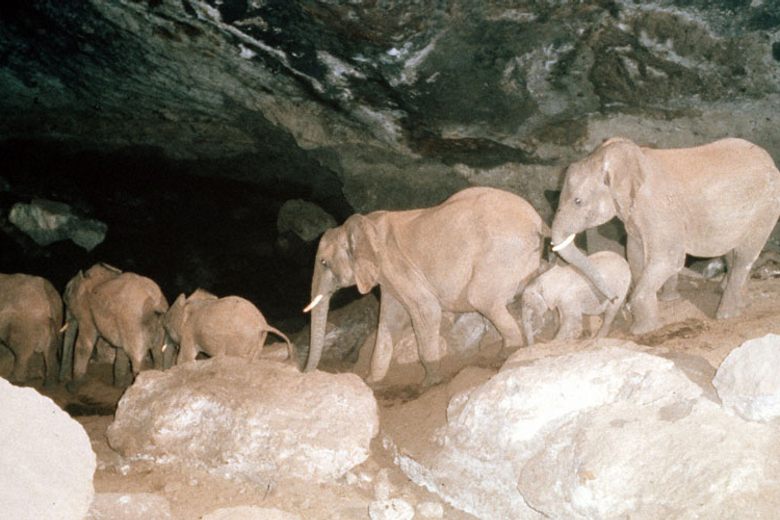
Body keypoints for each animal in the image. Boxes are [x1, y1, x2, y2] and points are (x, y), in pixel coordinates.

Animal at [163, 289, 294, 364]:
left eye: (167, 328)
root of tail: (263, 324)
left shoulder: (189, 333)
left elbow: (184, 360)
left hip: (240, 338)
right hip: (258, 338)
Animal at [303, 186, 548, 386]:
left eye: (324, 263)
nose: (307, 373)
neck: (364, 225)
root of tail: (538, 221)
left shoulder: (397, 267)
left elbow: (426, 311)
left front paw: (429, 383)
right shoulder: (389, 278)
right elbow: (389, 321)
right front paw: (372, 382)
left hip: (502, 254)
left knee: (481, 298)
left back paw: (505, 354)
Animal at [551, 137, 780, 334]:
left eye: (578, 201)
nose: (616, 299)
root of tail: (768, 159)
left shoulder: (658, 211)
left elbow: (668, 260)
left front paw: (643, 330)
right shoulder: (635, 217)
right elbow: (635, 256)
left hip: (766, 208)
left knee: (744, 256)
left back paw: (726, 315)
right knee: (732, 253)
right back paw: (740, 302)